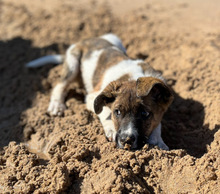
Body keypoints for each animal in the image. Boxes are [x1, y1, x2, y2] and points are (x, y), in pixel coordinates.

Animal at [26, 33, 174, 150]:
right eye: (117, 112)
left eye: (144, 114)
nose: (125, 140)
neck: (134, 77)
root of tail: (87, 39)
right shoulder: (93, 96)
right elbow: (105, 112)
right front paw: (111, 129)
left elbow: (158, 123)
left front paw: (157, 141)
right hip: (73, 64)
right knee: (60, 85)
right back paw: (56, 105)